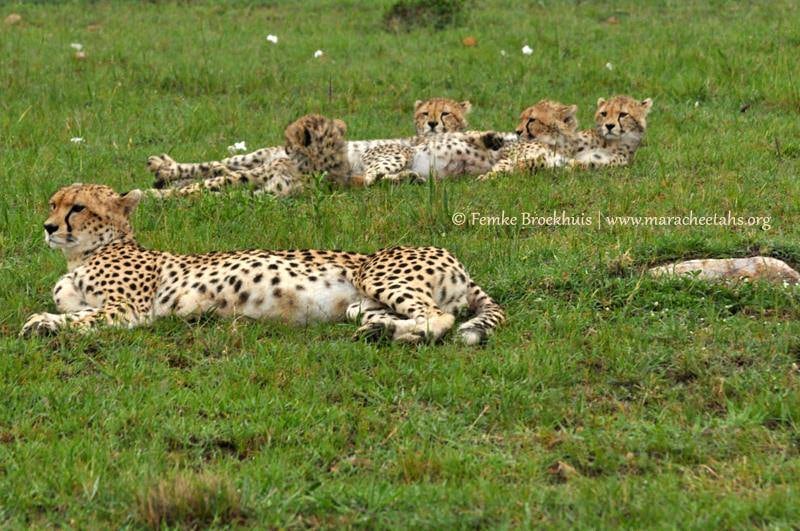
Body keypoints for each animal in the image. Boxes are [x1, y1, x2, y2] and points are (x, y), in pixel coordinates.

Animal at [20, 184, 505, 345]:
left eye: (77, 207)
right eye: (52, 203)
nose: (47, 226)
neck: (83, 254)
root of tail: (456, 260)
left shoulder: (128, 310)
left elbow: (85, 318)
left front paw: (43, 324)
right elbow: (75, 312)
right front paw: (44, 320)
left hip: (378, 274)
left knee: (439, 318)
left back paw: (403, 336)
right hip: (358, 303)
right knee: (406, 315)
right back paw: (381, 330)